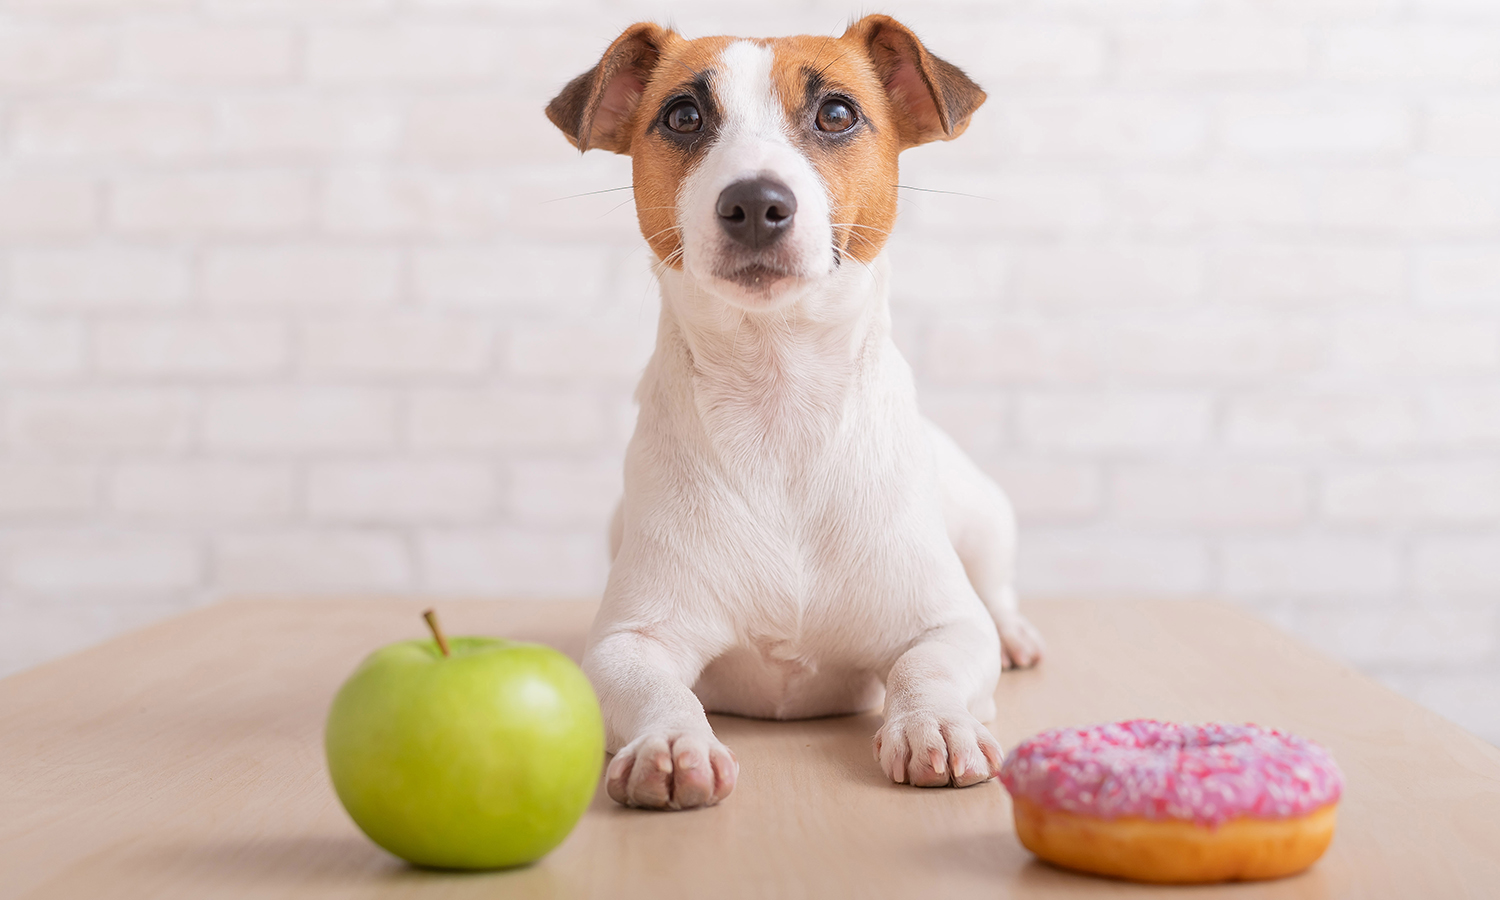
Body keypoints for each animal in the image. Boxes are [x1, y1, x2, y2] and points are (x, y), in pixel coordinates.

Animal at [549, 14, 1044, 810]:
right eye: (683, 116)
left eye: (836, 113)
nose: (755, 201)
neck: (777, 401)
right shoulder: (630, 640)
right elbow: (656, 688)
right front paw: (670, 743)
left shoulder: (945, 623)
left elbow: (929, 664)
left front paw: (933, 723)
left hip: (983, 515)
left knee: (995, 592)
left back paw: (1018, 634)